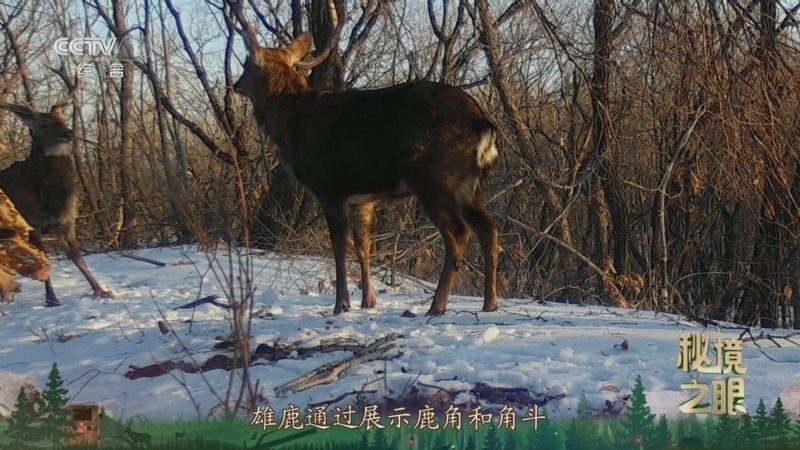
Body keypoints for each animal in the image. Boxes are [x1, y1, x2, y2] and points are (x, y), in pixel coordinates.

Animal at [0, 73, 114, 306]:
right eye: (44, 124)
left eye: (62, 119)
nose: (68, 132)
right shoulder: (32, 224)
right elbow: (45, 262)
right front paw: (52, 299)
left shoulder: (67, 223)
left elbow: (78, 259)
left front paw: (101, 291)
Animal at [227, 0, 500, 317]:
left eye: (246, 64)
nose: (235, 84)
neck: (292, 121)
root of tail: (483, 125)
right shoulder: (363, 198)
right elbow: (363, 245)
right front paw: (368, 301)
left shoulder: (328, 188)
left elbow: (338, 246)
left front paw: (341, 305)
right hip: (470, 185)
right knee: (488, 229)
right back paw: (489, 303)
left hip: (434, 177)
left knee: (458, 234)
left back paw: (437, 306)